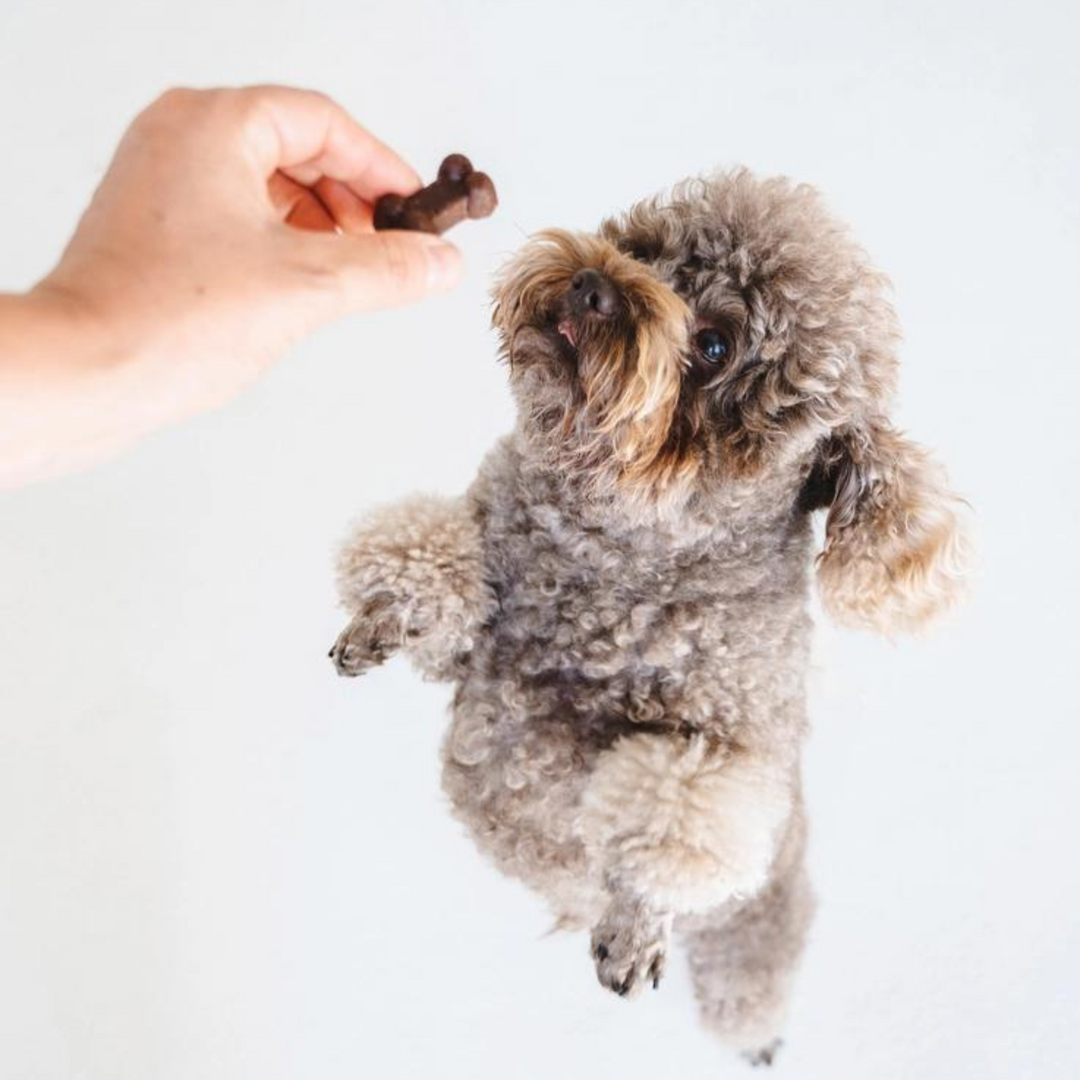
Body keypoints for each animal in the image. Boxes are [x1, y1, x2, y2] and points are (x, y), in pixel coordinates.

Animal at [330, 170, 972, 1062]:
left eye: (714, 347)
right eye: (645, 251)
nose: (592, 284)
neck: (618, 553)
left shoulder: (724, 757)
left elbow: (669, 823)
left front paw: (633, 928)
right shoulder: (481, 600)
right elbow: (434, 559)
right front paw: (380, 619)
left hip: (757, 928)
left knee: (747, 981)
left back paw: (757, 1036)